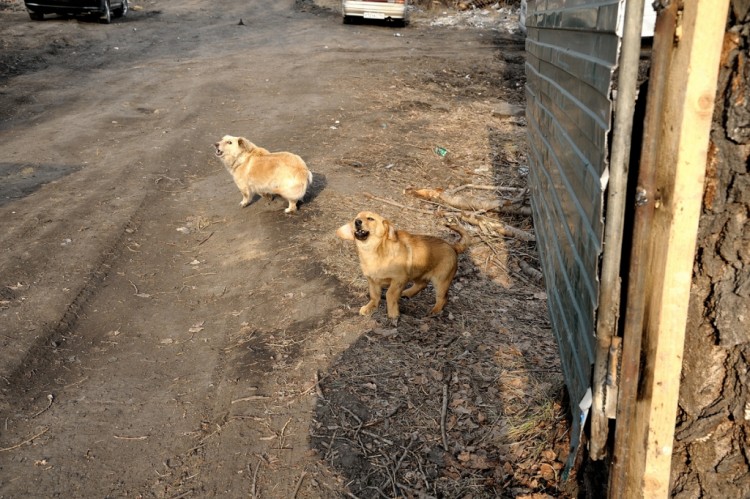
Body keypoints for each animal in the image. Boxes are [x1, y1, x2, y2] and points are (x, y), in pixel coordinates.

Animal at [336, 212, 470, 324]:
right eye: (355, 218)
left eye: (370, 218)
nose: (357, 222)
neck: (373, 251)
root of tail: (452, 247)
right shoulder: (373, 281)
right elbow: (374, 296)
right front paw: (370, 307)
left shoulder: (399, 280)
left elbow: (390, 295)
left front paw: (393, 314)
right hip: (417, 272)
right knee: (422, 284)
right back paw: (407, 293)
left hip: (441, 281)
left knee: (443, 298)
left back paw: (435, 311)